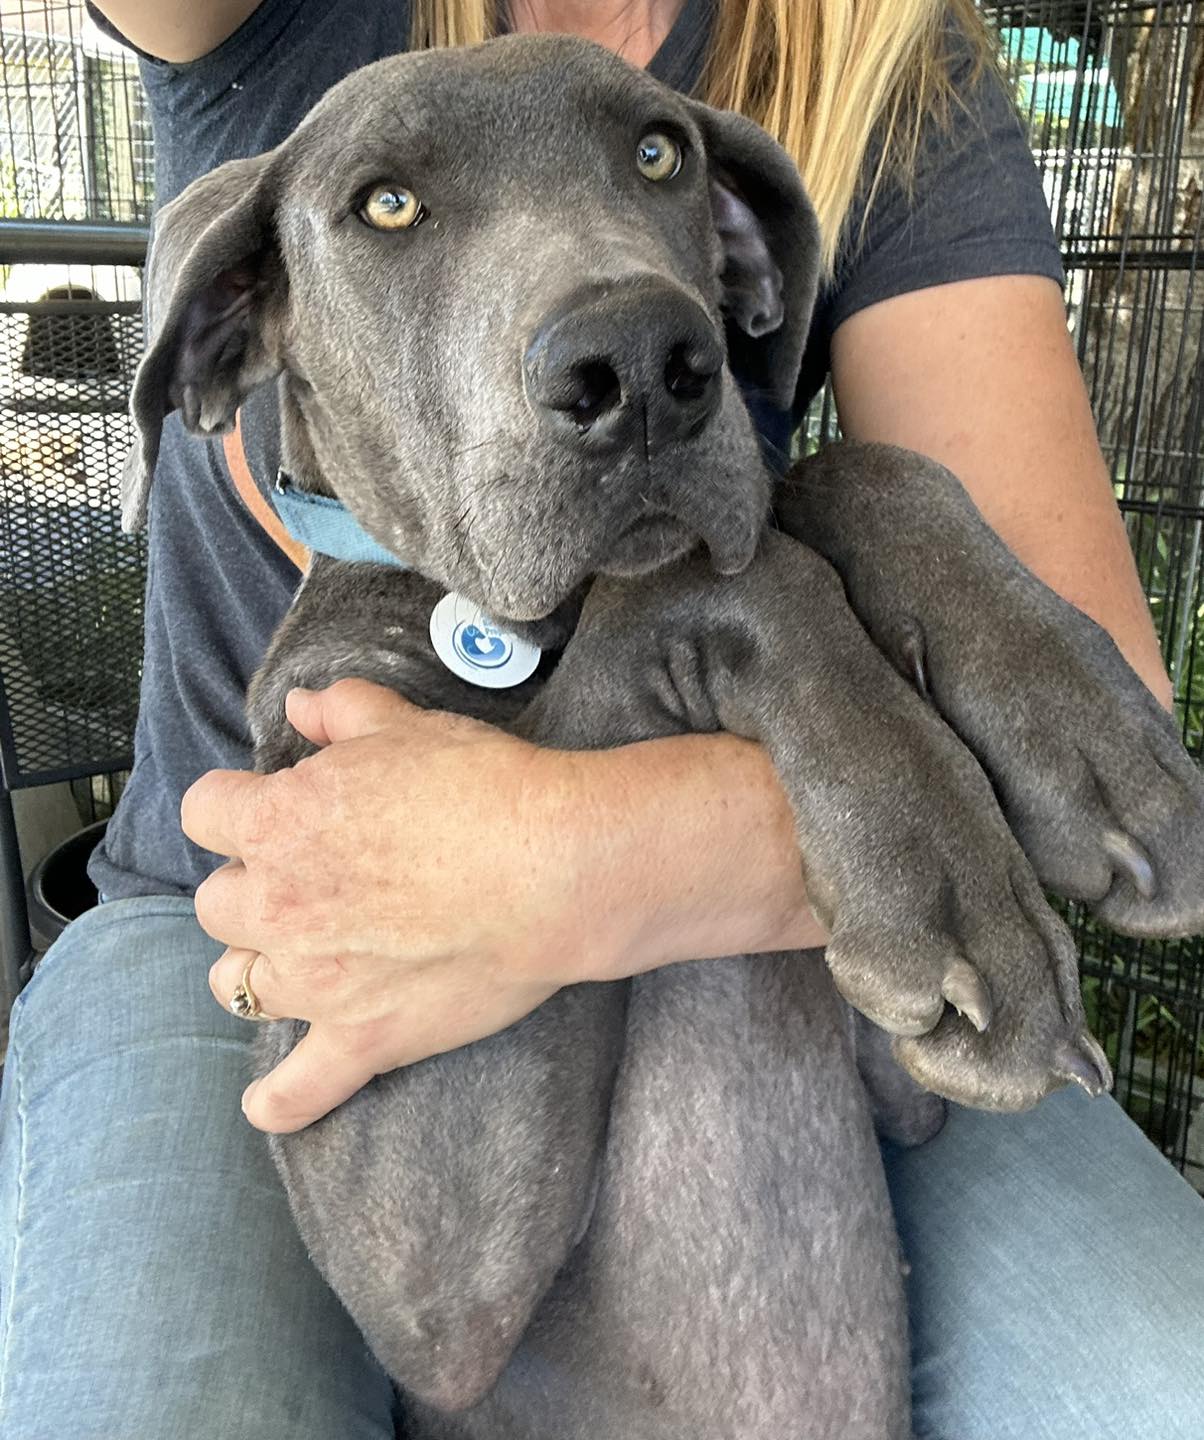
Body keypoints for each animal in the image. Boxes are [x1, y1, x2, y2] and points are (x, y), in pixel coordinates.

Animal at [120, 39, 1204, 1440]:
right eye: (387, 205)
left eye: (657, 154)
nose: (642, 361)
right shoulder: (421, 1273)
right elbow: (716, 580)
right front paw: (938, 865)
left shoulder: (908, 1085)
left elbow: (841, 475)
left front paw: (1082, 730)